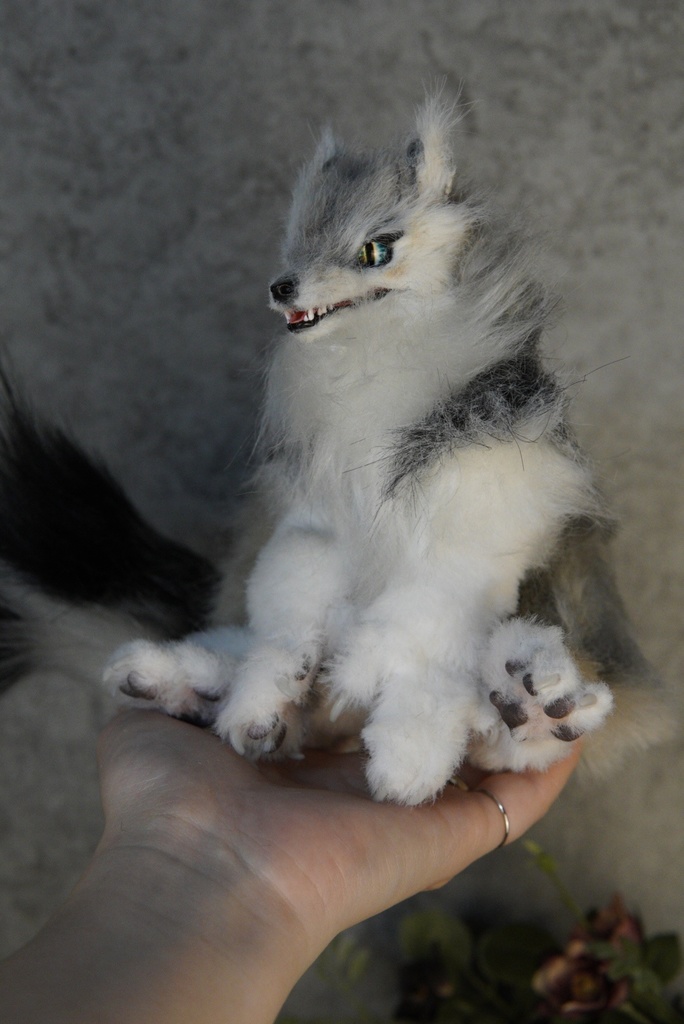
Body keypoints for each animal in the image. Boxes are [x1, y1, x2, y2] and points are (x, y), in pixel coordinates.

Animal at [0, 99, 672, 804]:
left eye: (377, 250)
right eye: (296, 238)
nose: (282, 287)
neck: (376, 360)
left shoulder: (464, 544)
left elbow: (417, 644)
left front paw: (405, 759)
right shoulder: (312, 528)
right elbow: (290, 614)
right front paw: (262, 701)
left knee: (511, 731)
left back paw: (531, 703)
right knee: (246, 645)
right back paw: (174, 681)